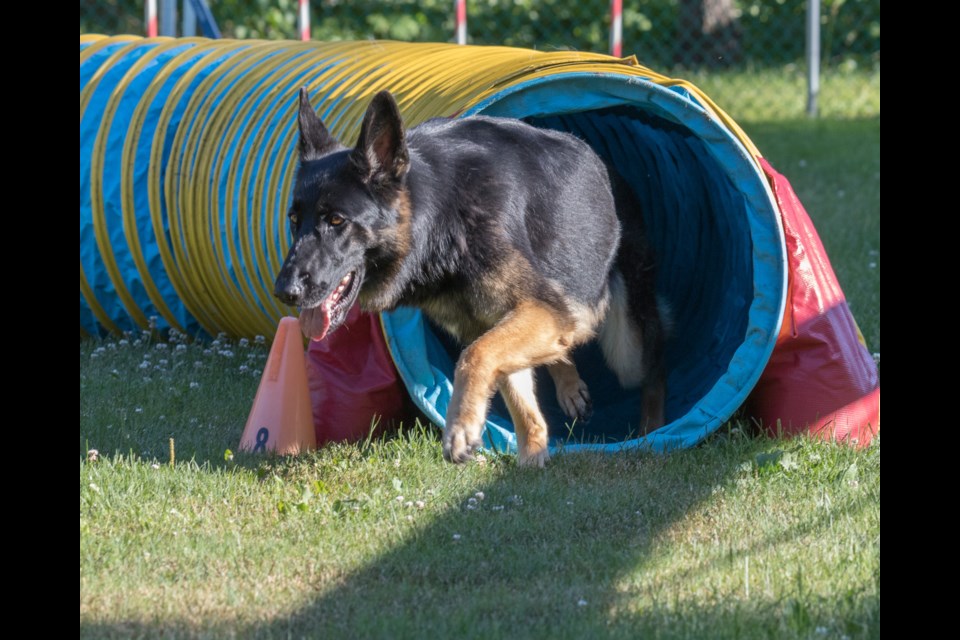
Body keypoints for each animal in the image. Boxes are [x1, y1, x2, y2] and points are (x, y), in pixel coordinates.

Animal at [276, 90, 668, 468]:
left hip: (625, 348)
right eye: (294, 220)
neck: (441, 216)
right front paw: (532, 455)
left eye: (337, 220)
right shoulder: (500, 319)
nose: (285, 291)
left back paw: (653, 430)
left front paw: (461, 428)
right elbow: (516, 391)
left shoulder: (535, 308)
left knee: (651, 364)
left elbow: (475, 356)